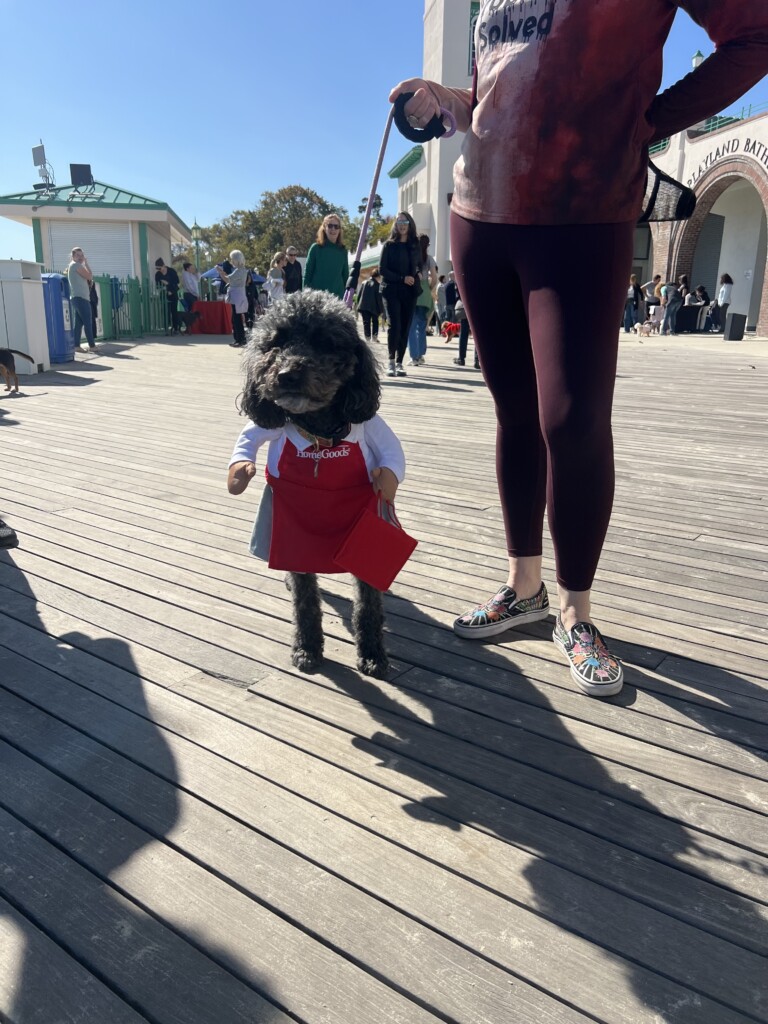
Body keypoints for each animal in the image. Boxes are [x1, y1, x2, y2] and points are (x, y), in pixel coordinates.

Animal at [230, 290, 405, 679]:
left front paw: (373, 654)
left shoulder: (362, 535)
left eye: (325, 342)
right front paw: (307, 648)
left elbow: (368, 602)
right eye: (276, 342)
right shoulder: (294, 537)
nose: (287, 374)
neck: (321, 437)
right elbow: (305, 600)